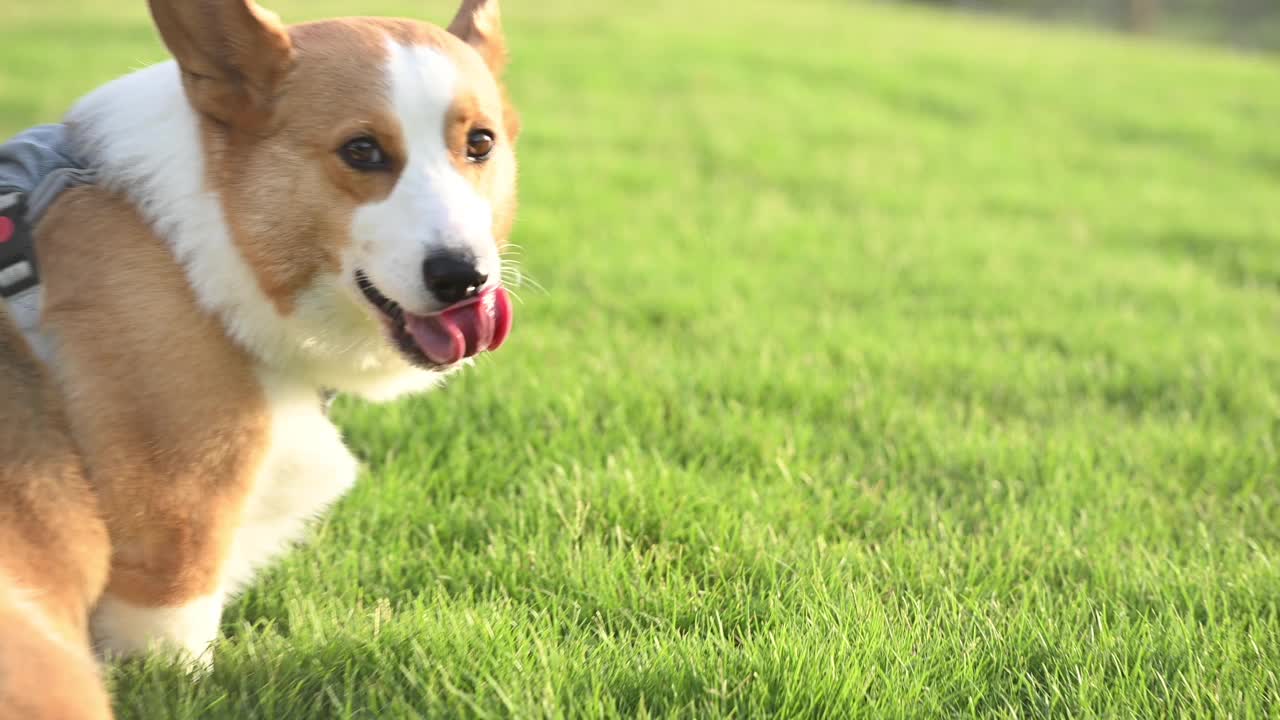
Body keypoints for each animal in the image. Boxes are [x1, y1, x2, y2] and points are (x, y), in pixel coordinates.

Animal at [1, 0, 519, 707]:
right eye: (361, 150)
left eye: (480, 144)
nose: (465, 279)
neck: (197, 245)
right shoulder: (170, 553)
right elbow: (177, 653)